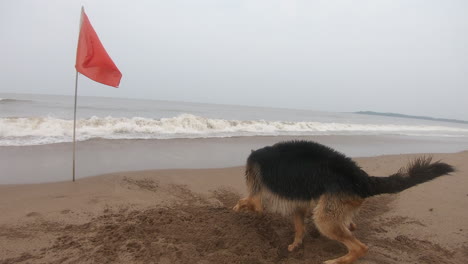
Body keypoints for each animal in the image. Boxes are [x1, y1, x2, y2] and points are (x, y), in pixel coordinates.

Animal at [233, 140, 454, 264]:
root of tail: (364, 179)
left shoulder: (257, 198)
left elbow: (245, 202)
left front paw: (234, 210)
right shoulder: (299, 205)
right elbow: (299, 228)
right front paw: (296, 244)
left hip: (324, 220)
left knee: (359, 248)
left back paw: (335, 261)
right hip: (333, 210)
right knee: (350, 226)